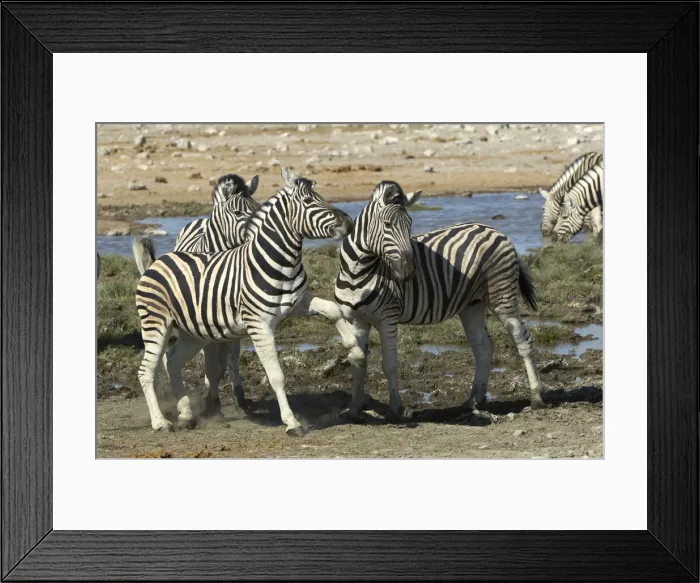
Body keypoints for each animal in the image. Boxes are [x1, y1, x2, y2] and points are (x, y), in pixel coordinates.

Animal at [135, 167, 357, 435]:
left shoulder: (298, 302)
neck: (279, 262)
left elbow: (333, 309)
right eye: (308, 201)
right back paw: (160, 422)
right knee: (146, 371)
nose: (349, 223)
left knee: (172, 361)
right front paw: (291, 422)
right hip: (156, 325)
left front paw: (353, 344)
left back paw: (186, 414)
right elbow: (276, 376)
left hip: (193, 333)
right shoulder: (259, 324)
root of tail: (158, 262)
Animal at [334, 181, 544, 422]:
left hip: (502, 296)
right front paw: (354, 409)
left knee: (523, 341)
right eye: (387, 225)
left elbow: (390, 365)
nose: (409, 271)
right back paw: (474, 400)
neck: (357, 272)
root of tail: (497, 231)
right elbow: (358, 363)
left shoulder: (387, 318)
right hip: (472, 305)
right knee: (483, 347)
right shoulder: (356, 320)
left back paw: (536, 398)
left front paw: (395, 409)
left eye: (410, 225)